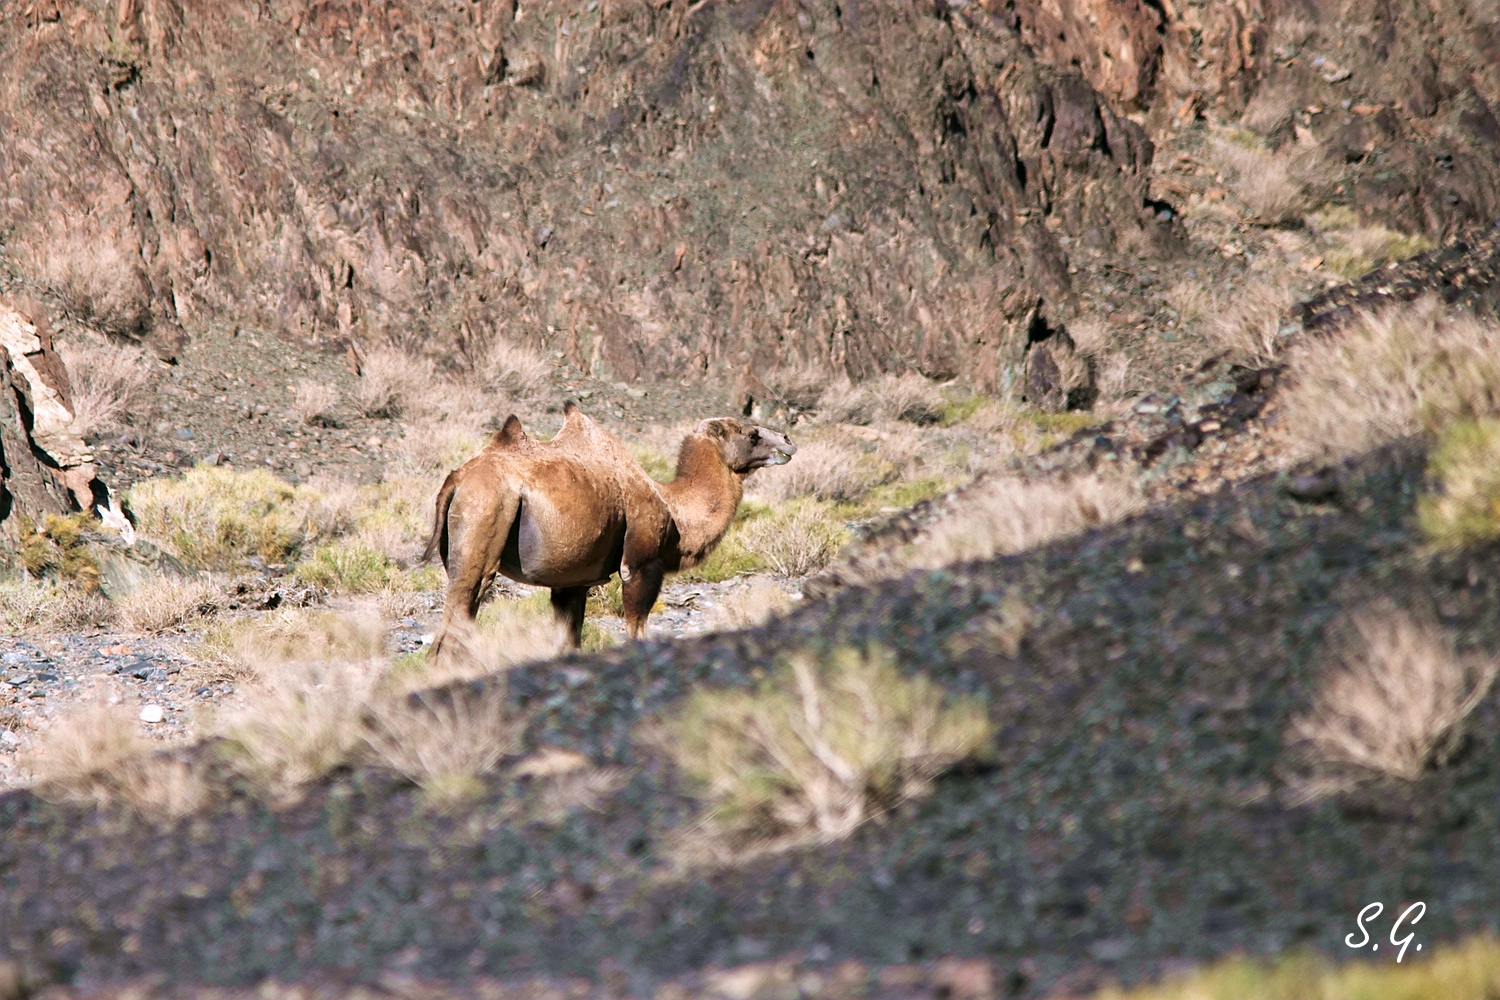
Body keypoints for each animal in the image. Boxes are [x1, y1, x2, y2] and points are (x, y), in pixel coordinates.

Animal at [422, 402, 796, 660]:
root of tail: (458, 480)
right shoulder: (641, 562)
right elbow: (636, 628)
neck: (674, 508)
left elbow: (570, 641)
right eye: (752, 434)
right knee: (455, 624)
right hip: (485, 515)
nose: (788, 440)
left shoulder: (572, 583)